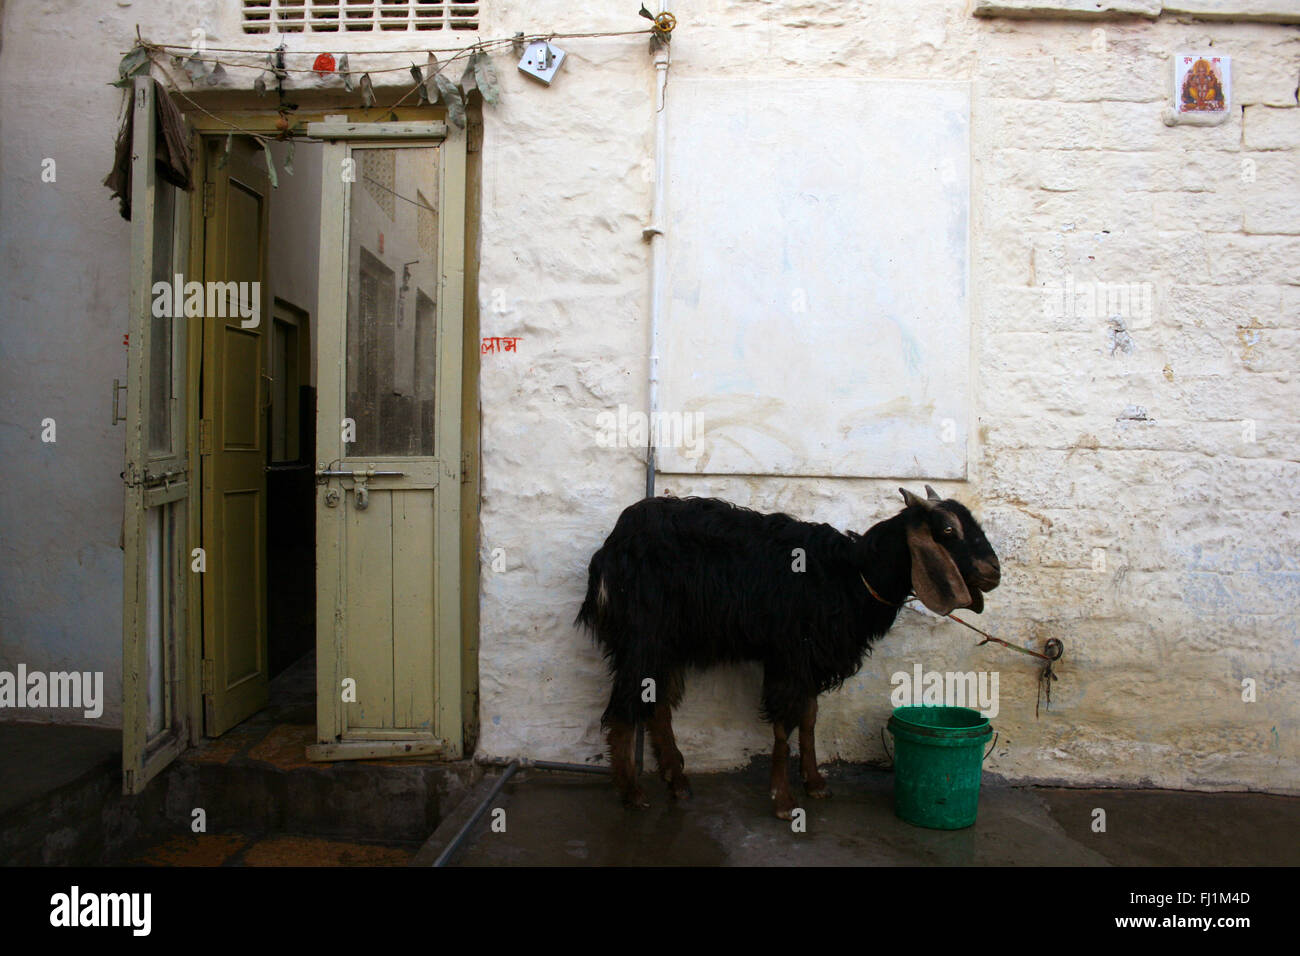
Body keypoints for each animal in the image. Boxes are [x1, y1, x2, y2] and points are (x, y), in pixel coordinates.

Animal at [579, 489, 1003, 816]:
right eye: (947, 529)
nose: (993, 572)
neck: (850, 575)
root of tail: (610, 549)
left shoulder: (810, 661)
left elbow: (810, 718)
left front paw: (814, 782)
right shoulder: (788, 657)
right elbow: (784, 725)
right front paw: (783, 801)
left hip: (668, 641)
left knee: (658, 703)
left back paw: (677, 779)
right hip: (643, 635)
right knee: (625, 706)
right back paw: (632, 792)